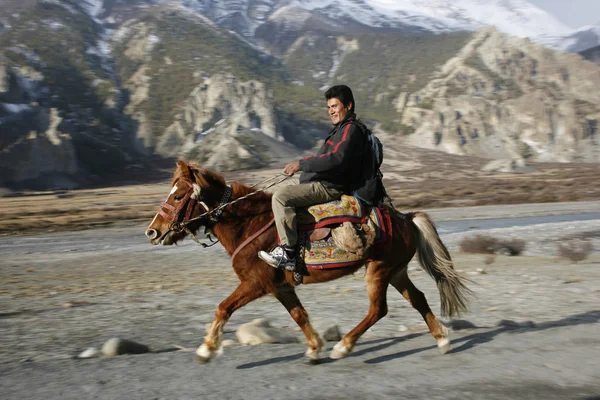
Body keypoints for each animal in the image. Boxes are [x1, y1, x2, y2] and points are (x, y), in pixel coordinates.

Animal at [143, 160, 472, 362]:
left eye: (177, 197)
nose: (152, 231)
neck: (248, 223)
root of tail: (406, 219)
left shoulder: (255, 283)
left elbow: (223, 308)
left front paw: (206, 350)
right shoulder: (281, 287)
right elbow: (299, 315)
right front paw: (314, 349)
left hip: (380, 270)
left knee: (378, 309)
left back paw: (344, 346)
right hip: (396, 271)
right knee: (417, 299)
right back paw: (442, 340)